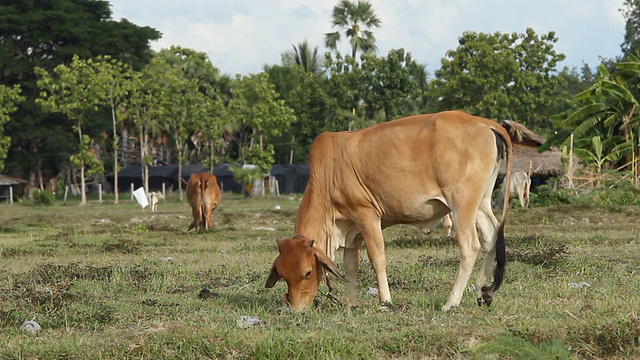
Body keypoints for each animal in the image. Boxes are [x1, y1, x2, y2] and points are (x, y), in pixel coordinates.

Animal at [266, 110, 516, 312]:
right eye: (283, 275)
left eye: (307, 272)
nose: (296, 309)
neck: (329, 173)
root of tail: (483, 122)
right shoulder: (352, 230)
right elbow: (350, 266)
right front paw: (350, 303)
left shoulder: (367, 216)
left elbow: (377, 258)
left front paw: (385, 300)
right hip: (481, 203)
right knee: (491, 236)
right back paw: (483, 293)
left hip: (461, 204)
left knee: (470, 246)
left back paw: (451, 302)